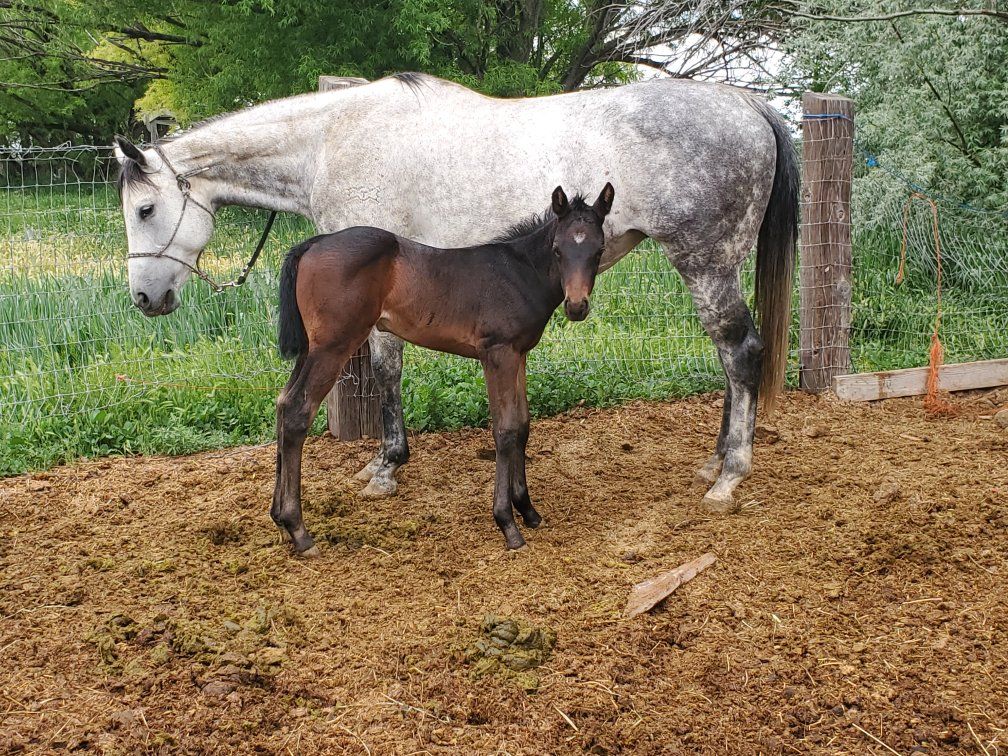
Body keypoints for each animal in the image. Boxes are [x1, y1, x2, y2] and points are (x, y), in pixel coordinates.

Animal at [114, 72, 798, 515]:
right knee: (729, 357)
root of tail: (747, 105)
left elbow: (386, 370)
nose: (146, 298)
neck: (331, 142)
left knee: (740, 353)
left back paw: (729, 476)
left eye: (145, 209)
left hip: (706, 263)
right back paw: (715, 460)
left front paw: (387, 465)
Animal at [274, 184, 613, 554]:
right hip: (333, 346)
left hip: (311, 348)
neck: (519, 272)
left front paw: (528, 510)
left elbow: (523, 425)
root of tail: (313, 243)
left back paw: (280, 519)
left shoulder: (519, 354)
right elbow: (505, 430)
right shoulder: (497, 353)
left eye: (599, 249)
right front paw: (507, 523)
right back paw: (299, 531)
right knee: (298, 410)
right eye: (557, 250)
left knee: (283, 402)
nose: (576, 306)